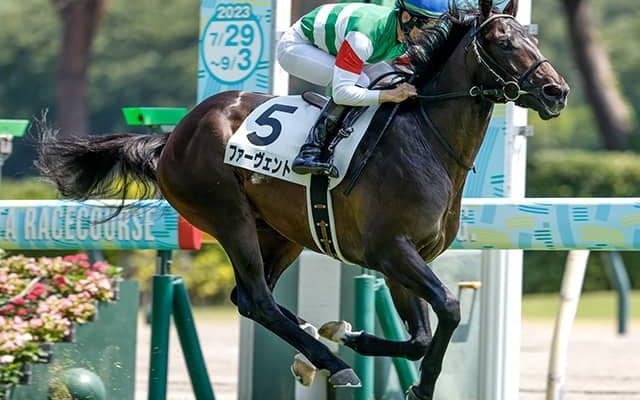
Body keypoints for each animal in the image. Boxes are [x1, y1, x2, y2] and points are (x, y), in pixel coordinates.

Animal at [36, 0, 568, 398]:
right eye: (504, 42)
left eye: (534, 40)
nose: (556, 92)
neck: (425, 139)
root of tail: (173, 136)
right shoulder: (391, 250)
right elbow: (451, 309)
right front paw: (418, 386)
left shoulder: (407, 256)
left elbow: (418, 337)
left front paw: (354, 334)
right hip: (228, 217)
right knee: (257, 299)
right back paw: (330, 361)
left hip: (282, 232)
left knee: (252, 299)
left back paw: (319, 343)